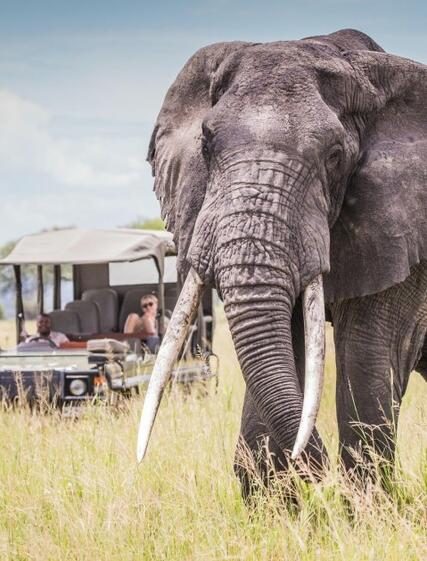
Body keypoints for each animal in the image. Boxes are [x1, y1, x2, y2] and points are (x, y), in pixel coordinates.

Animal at [137, 29, 427, 494]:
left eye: (335, 155)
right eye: (206, 143)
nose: (317, 475)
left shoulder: (404, 227)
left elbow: (368, 354)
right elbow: (282, 346)